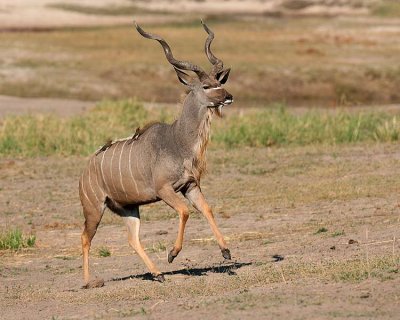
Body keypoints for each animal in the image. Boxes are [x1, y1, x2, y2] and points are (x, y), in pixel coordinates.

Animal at [78, 22, 233, 288]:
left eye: (218, 82)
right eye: (206, 86)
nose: (228, 97)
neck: (178, 141)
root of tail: (85, 172)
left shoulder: (190, 186)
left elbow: (207, 209)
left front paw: (225, 251)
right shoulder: (164, 190)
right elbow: (185, 211)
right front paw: (172, 254)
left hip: (129, 209)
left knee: (132, 238)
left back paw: (158, 273)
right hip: (94, 209)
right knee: (86, 237)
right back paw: (90, 282)